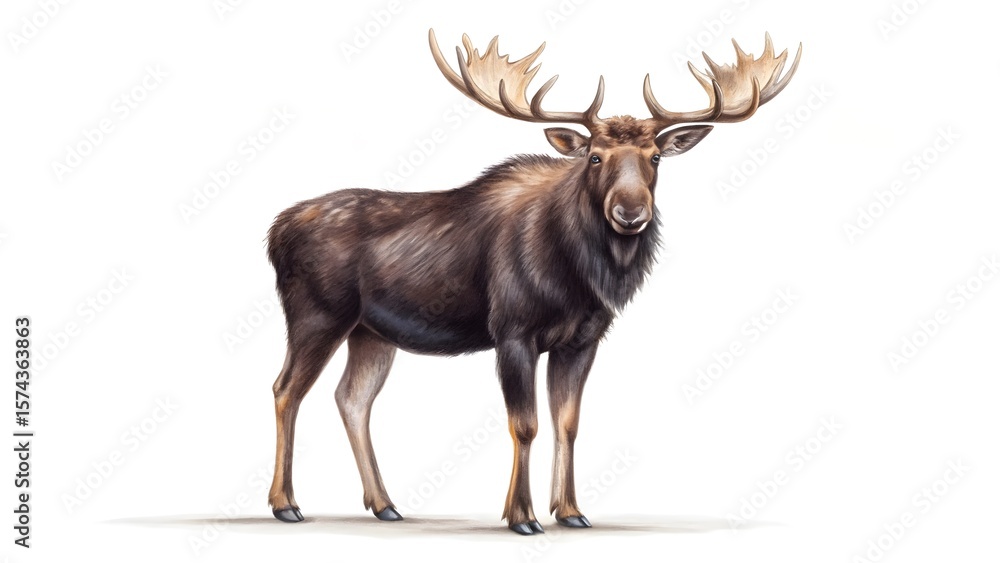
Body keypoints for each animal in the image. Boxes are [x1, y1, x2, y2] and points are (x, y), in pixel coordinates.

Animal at [265, 28, 801, 535]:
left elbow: (568, 423)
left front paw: (571, 510)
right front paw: (521, 515)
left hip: (372, 333)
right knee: (286, 389)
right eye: (595, 157)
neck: (580, 278)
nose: (631, 213)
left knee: (352, 399)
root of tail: (275, 232)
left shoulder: (581, 340)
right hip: (317, 316)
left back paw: (385, 504)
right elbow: (525, 425)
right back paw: (286, 503)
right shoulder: (513, 333)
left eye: (655, 158)